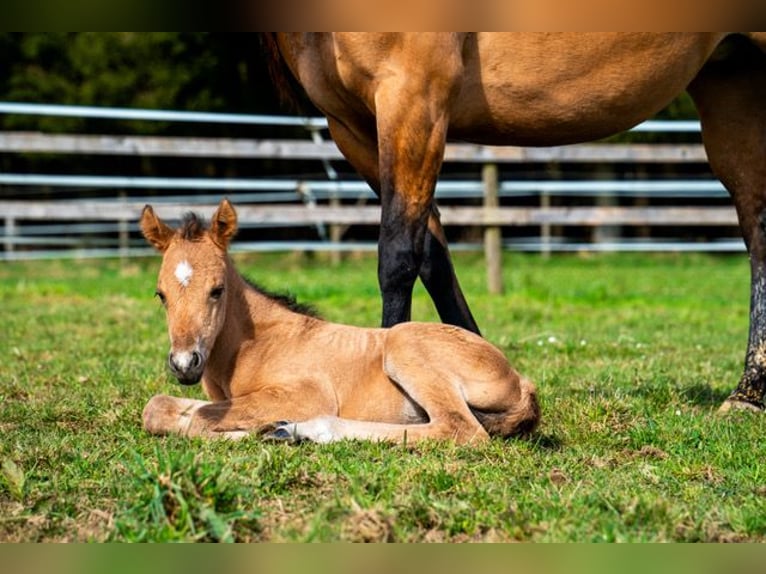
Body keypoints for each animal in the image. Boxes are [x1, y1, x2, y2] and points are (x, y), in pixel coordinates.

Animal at [139, 199, 540, 444]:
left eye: (217, 290)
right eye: (161, 295)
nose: (184, 364)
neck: (257, 343)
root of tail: (520, 381)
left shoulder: (305, 393)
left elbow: (203, 419)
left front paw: (252, 431)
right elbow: (158, 407)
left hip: (403, 345)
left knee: (458, 428)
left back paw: (299, 430)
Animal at [260, 32, 766, 413]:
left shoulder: (412, 96)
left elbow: (400, 255)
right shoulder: (352, 126)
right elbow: (433, 258)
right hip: (732, 81)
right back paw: (749, 394)